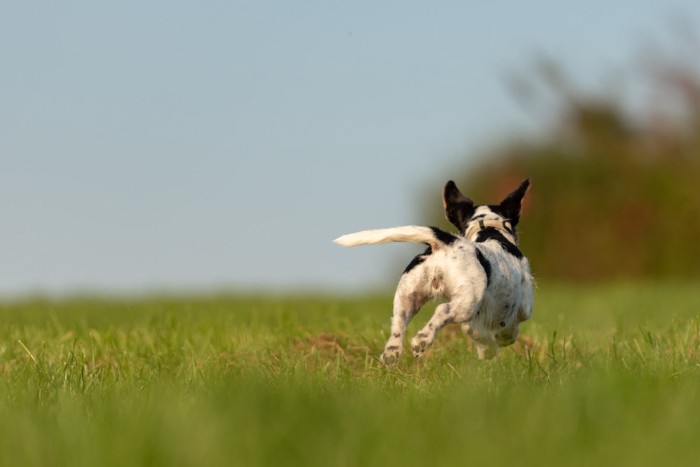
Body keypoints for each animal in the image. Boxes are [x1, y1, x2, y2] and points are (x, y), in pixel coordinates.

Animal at [336, 179, 532, 366]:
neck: (490, 230)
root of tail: (446, 242)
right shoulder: (522, 308)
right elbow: (509, 327)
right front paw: (499, 342)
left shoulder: (474, 322)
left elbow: (477, 334)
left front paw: (488, 350)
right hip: (467, 302)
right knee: (442, 310)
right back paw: (422, 340)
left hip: (407, 295)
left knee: (398, 322)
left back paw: (392, 351)